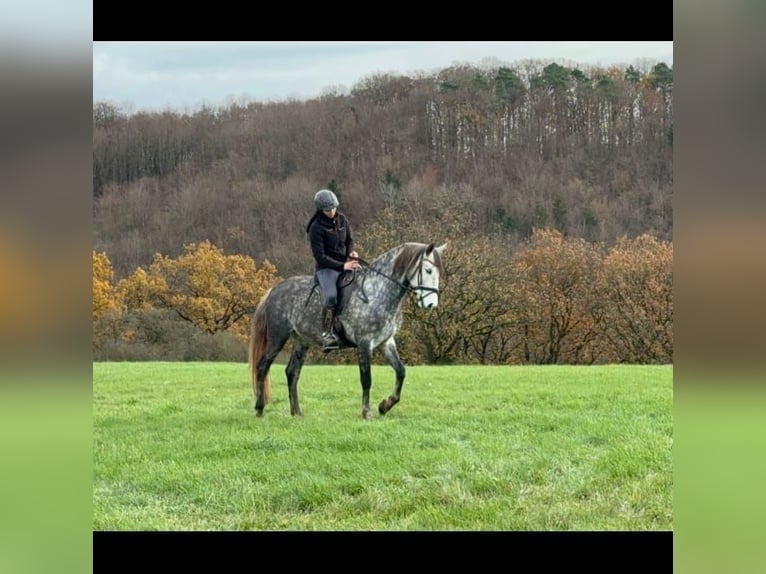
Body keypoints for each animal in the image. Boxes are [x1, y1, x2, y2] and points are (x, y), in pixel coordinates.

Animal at [249, 241, 448, 420]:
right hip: (277, 337)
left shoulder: (386, 341)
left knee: (292, 372)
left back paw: (296, 412)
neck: (377, 292)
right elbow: (366, 379)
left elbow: (401, 371)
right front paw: (367, 412)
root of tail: (274, 290)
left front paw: (385, 405)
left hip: (302, 341)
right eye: (428, 271)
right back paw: (259, 408)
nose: (431, 305)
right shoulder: (365, 343)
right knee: (262, 367)